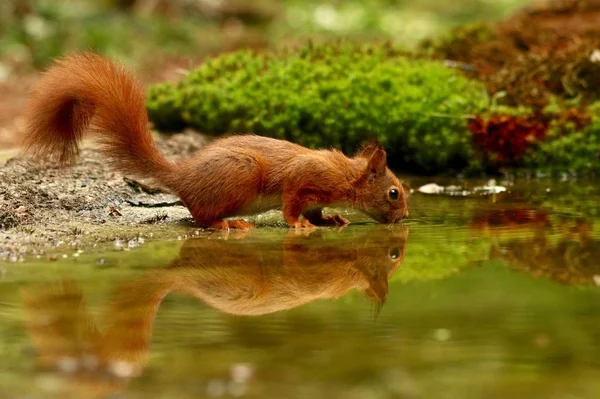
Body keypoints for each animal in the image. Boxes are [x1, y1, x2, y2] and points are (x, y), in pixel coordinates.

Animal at [22, 51, 408, 230]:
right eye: (394, 192)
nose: (405, 217)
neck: (346, 175)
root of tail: (182, 177)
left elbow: (317, 210)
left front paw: (332, 220)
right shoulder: (303, 179)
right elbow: (291, 203)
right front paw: (298, 225)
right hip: (240, 175)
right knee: (201, 217)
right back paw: (228, 224)